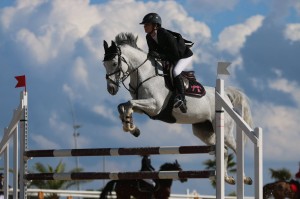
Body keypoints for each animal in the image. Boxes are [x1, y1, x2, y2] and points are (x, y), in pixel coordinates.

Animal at [102, 32, 253, 185]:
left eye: (114, 63)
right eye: (104, 64)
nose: (111, 89)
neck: (144, 74)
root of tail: (225, 96)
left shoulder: (155, 106)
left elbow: (130, 103)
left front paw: (130, 127)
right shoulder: (144, 108)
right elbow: (124, 105)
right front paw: (132, 128)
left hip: (225, 131)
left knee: (235, 148)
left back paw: (244, 178)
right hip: (203, 131)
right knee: (224, 150)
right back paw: (227, 178)